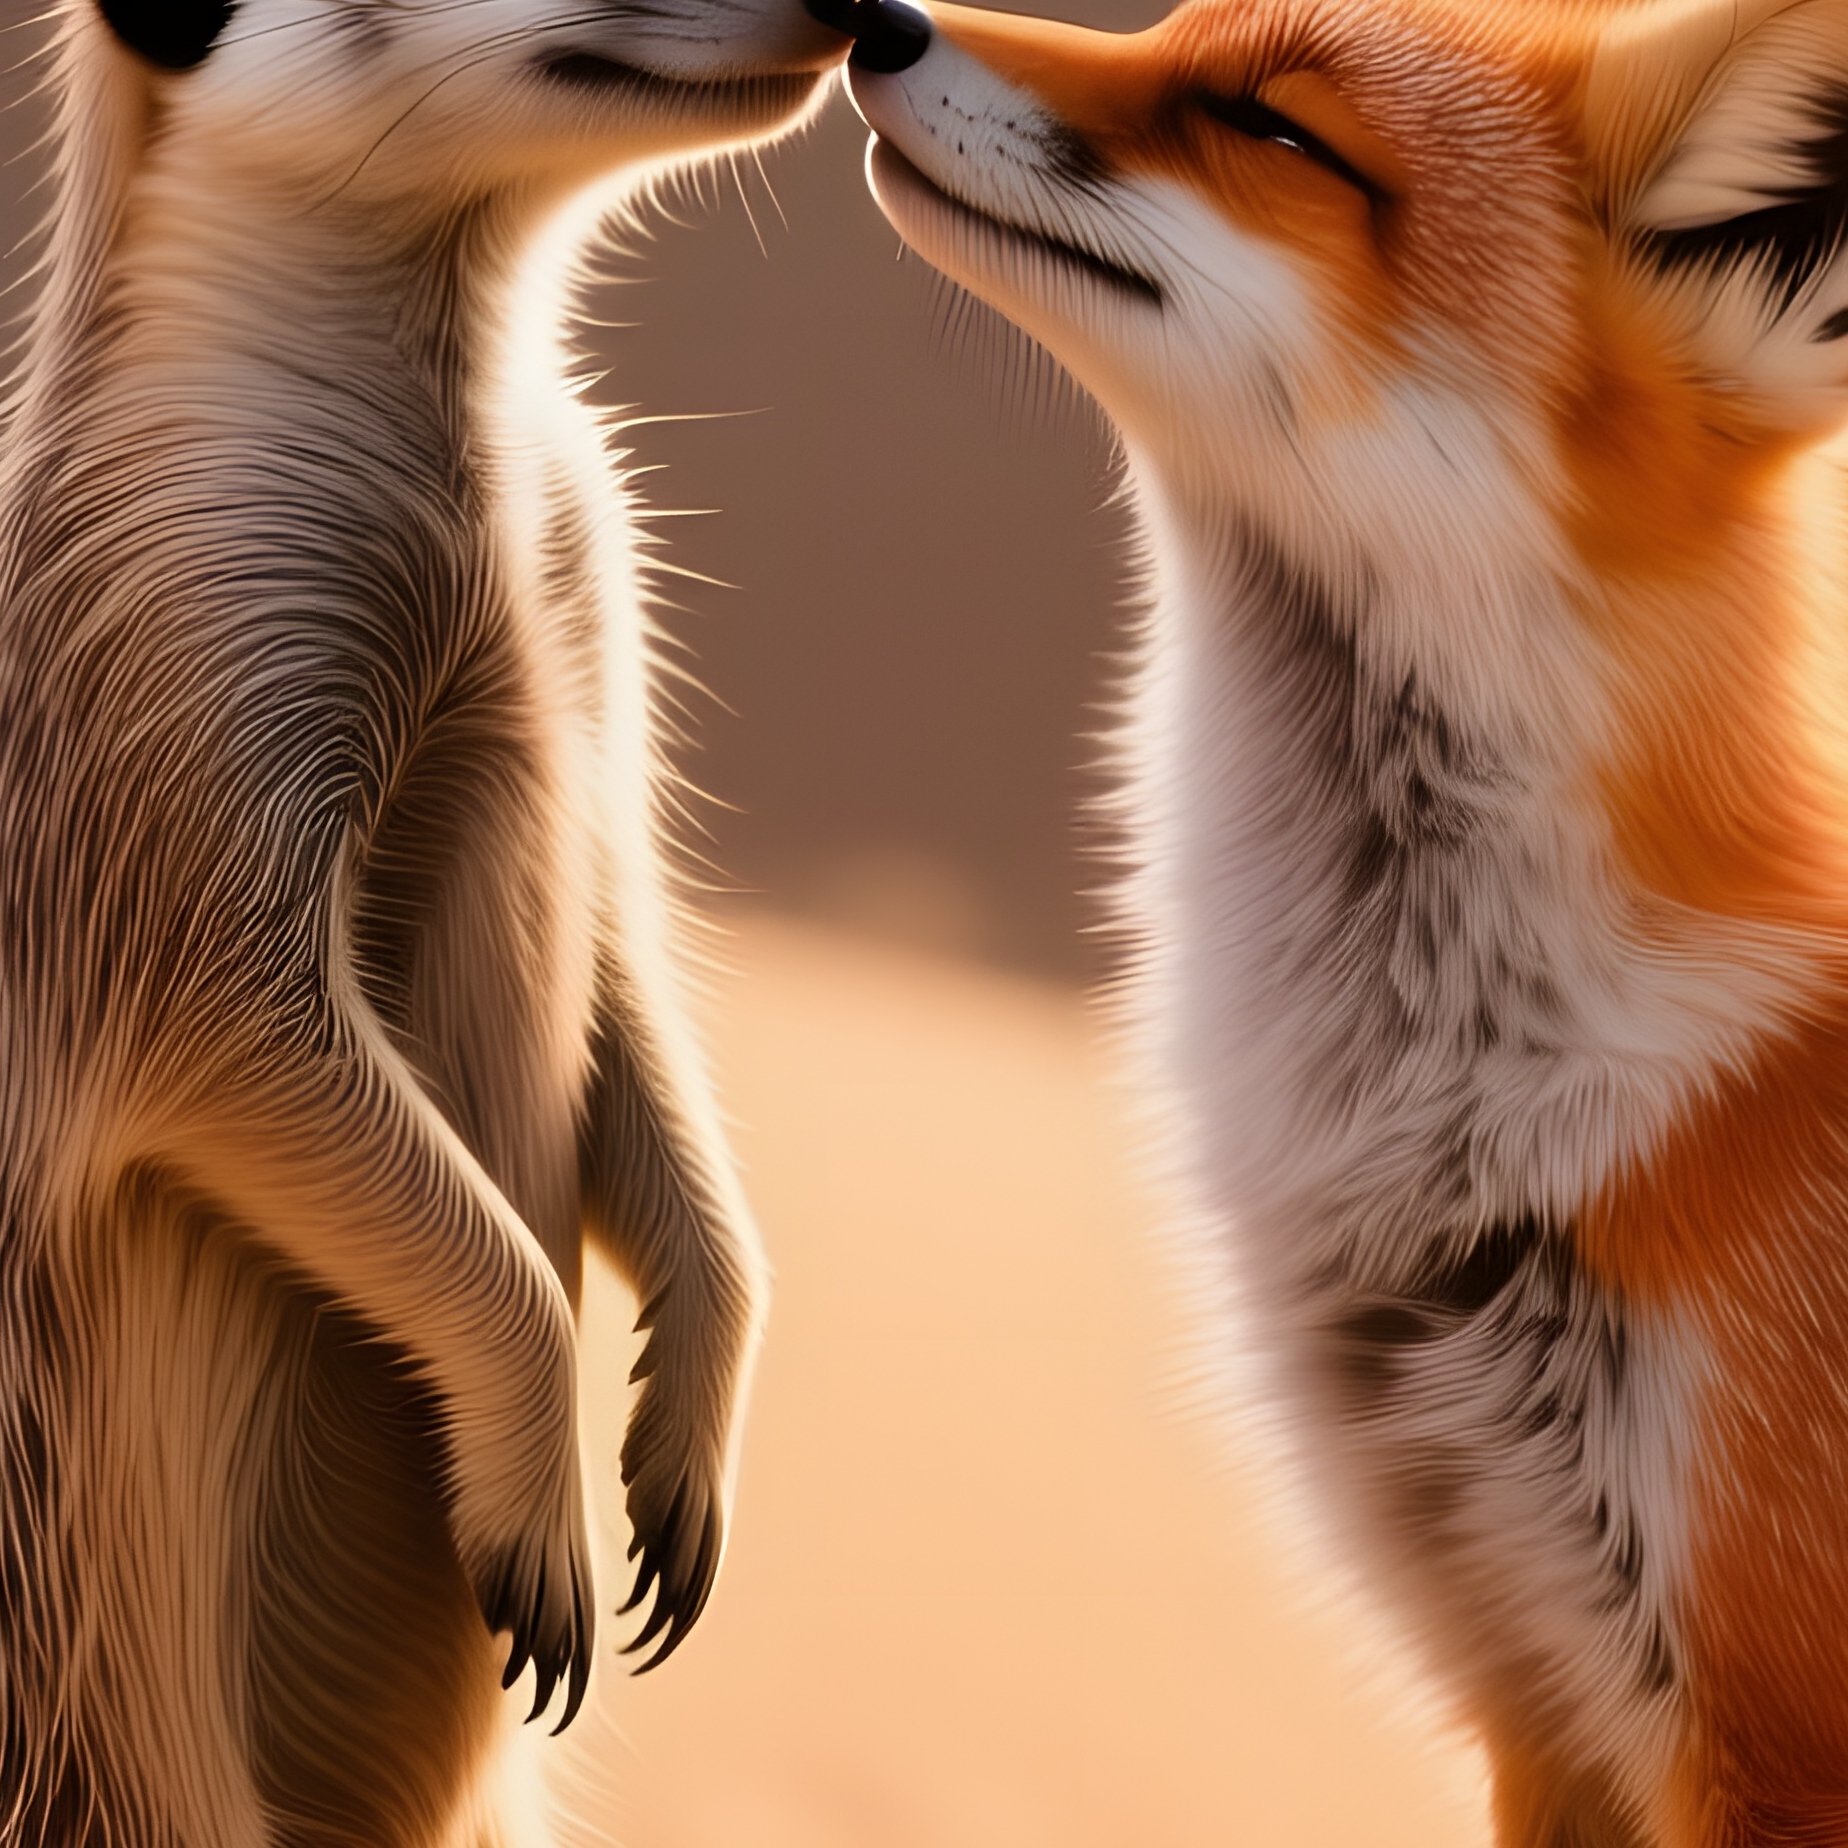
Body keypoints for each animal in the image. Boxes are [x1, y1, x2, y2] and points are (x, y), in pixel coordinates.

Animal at [0, 0, 845, 1841]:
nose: (856, 16)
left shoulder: (593, 563)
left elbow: (623, 954)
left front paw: (690, 1397)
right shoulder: (177, 634)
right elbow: (234, 1028)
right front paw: (539, 1492)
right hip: (117, 1741)